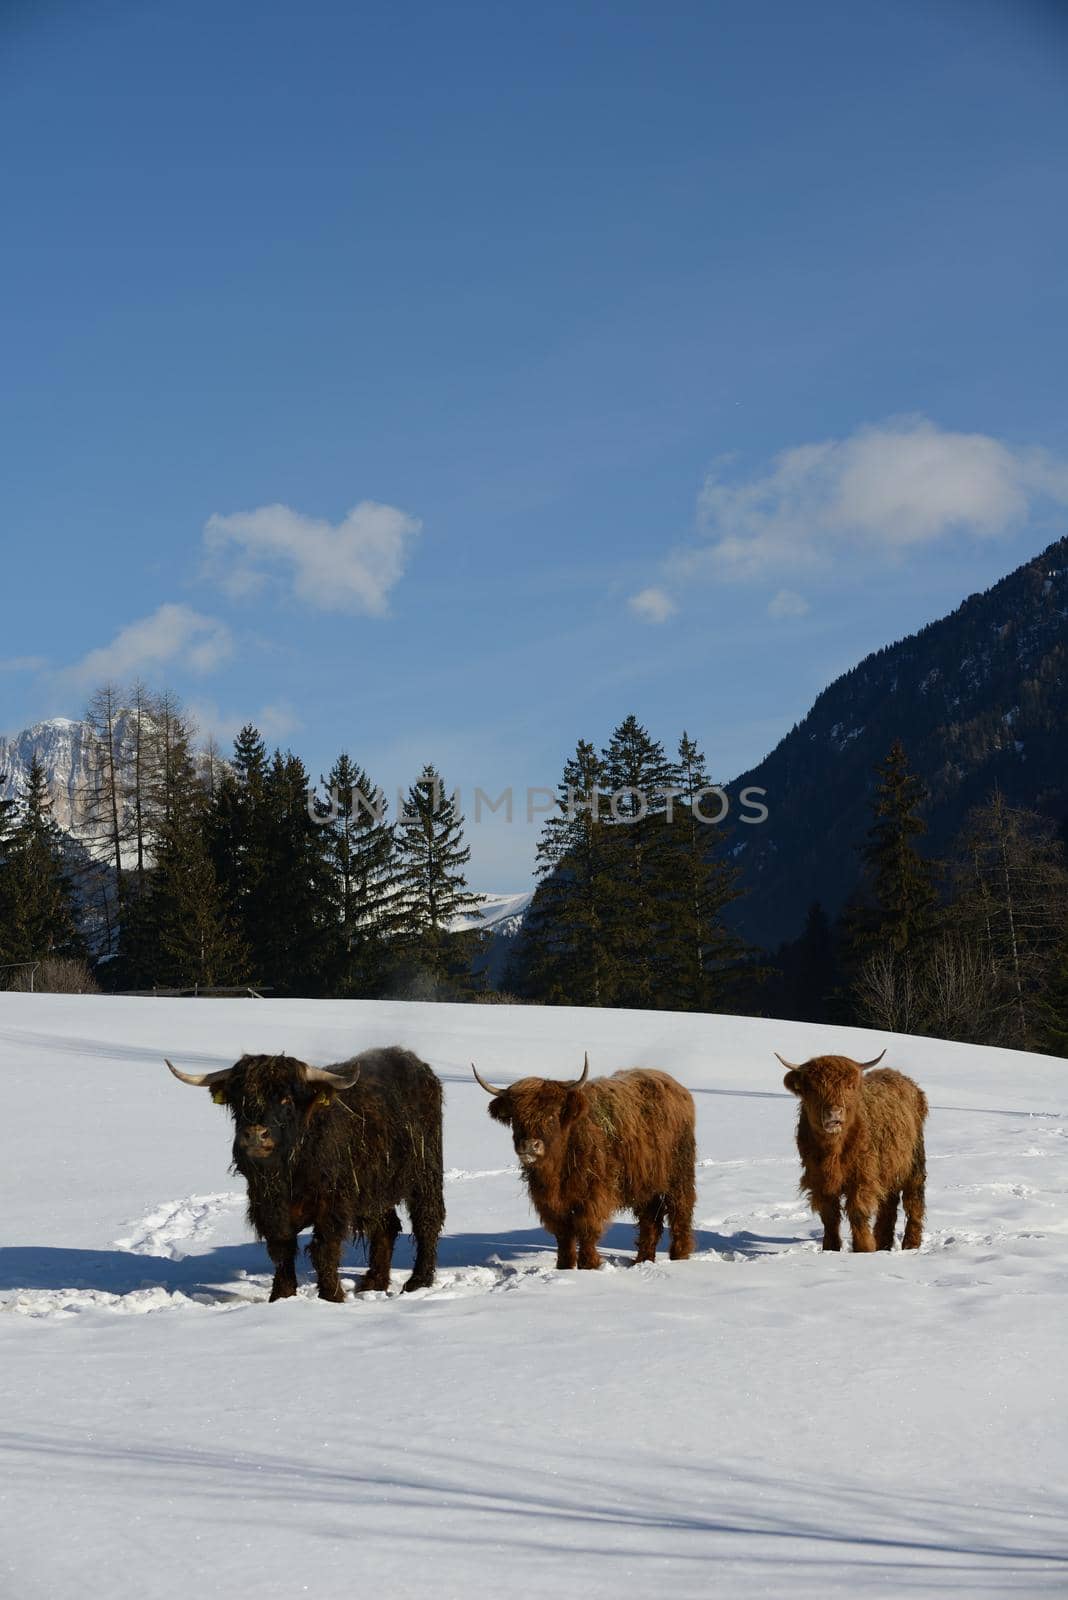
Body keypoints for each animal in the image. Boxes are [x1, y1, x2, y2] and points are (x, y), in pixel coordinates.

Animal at [167, 1049, 441, 1299]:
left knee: (427, 1221)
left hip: (425, 1173)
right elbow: (281, 1250)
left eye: (287, 1100)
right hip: (376, 1190)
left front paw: (331, 1296)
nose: (255, 1134)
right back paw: (374, 1283)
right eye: (239, 1100)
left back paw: (418, 1282)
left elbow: (323, 1251)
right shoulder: (269, 1207)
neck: (289, 1174)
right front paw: (282, 1296)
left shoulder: (332, 1207)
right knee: (386, 1227)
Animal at [470, 1056, 697, 1267]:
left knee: (680, 1213)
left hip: (679, 1175)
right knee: (650, 1221)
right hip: (645, 1184)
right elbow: (564, 1235)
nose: (529, 1146)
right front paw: (564, 1267)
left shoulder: (593, 1197)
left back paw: (679, 1256)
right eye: (516, 1118)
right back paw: (643, 1260)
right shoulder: (551, 1204)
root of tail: (676, 1086)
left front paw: (588, 1265)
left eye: (552, 1116)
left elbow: (587, 1230)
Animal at [777, 1043, 927, 1254]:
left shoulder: (863, 1176)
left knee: (913, 1200)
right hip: (887, 1166)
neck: (833, 1150)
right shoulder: (819, 1180)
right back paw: (883, 1243)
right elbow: (829, 1216)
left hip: (914, 1159)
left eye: (849, 1086)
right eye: (813, 1088)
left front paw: (864, 1249)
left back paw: (911, 1244)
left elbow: (857, 1211)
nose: (834, 1112)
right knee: (888, 1203)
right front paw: (830, 1249)